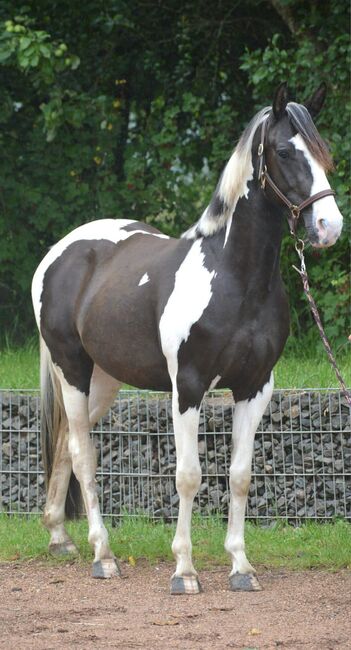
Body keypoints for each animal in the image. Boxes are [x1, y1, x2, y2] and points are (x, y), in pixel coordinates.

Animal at [32, 82, 344, 592]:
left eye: (324, 153)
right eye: (283, 151)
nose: (328, 227)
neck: (234, 278)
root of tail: (59, 253)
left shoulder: (256, 387)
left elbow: (240, 475)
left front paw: (241, 567)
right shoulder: (189, 388)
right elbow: (188, 476)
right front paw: (184, 570)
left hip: (104, 380)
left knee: (64, 445)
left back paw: (61, 538)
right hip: (72, 369)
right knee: (82, 454)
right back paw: (104, 556)